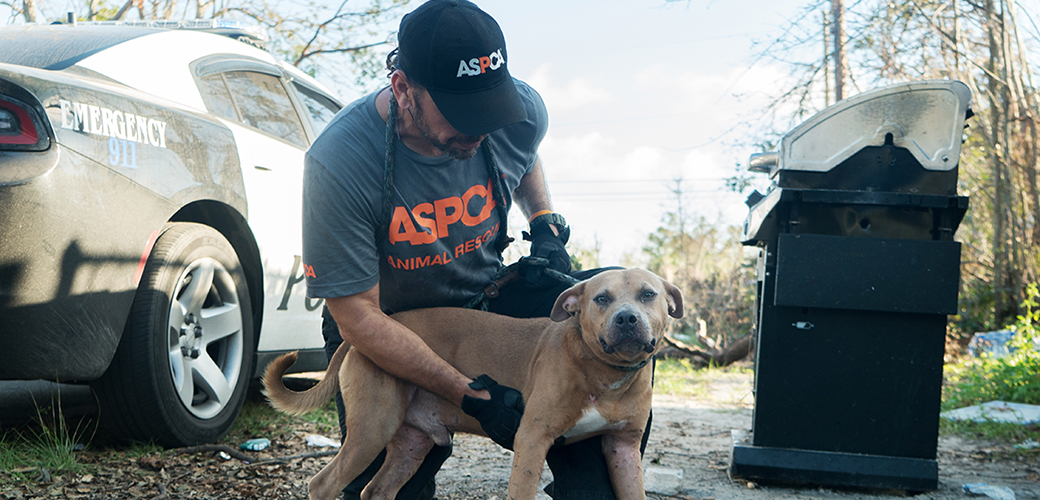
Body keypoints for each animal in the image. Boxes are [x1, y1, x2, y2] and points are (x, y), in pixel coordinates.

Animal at [264, 268, 682, 498]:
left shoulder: (623, 450)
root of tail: (361, 335)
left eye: (648, 295)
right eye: (601, 299)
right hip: (372, 430)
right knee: (323, 484)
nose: (626, 318)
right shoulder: (532, 440)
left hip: (410, 445)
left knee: (377, 489)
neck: (607, 373)